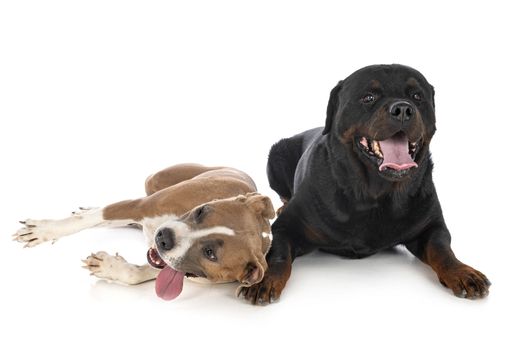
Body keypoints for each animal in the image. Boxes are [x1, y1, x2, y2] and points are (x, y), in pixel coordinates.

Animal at [12, 164, 274, 300]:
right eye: (201, 211)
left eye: (210, 253)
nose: (164, 238)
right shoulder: (140, 206)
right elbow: (91, 219)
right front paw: (44, 230)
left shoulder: (173, 266)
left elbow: (140, 273)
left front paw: (109, 267)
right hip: (155, 181)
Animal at [239, 63, 490, 304]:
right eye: (369, 97)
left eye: (417, 96)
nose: (403, 109)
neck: (374, 194)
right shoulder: (287, 226)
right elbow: (278, 254)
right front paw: (264, 280)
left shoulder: (431, 225)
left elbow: (442, 249)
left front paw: (463, 272)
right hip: (276, 156)